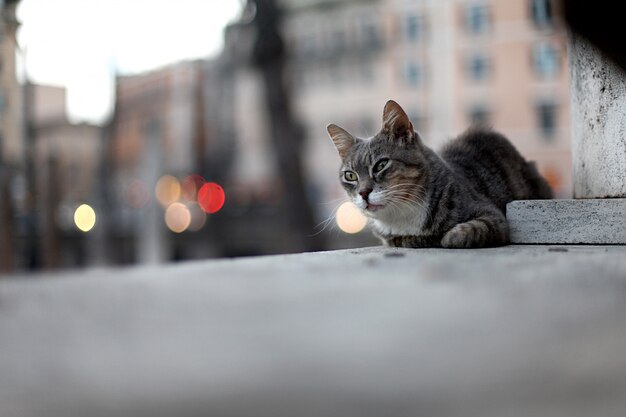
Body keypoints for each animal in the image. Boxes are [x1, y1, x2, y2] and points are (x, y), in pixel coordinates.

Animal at [326, 99, 552, 247]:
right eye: (350, 175)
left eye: (381, 165)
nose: (363, 193)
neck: (403, 216)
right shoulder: (390, 237)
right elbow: (400, 240)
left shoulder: (493, 216)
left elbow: (465, 232)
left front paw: (447, 237)